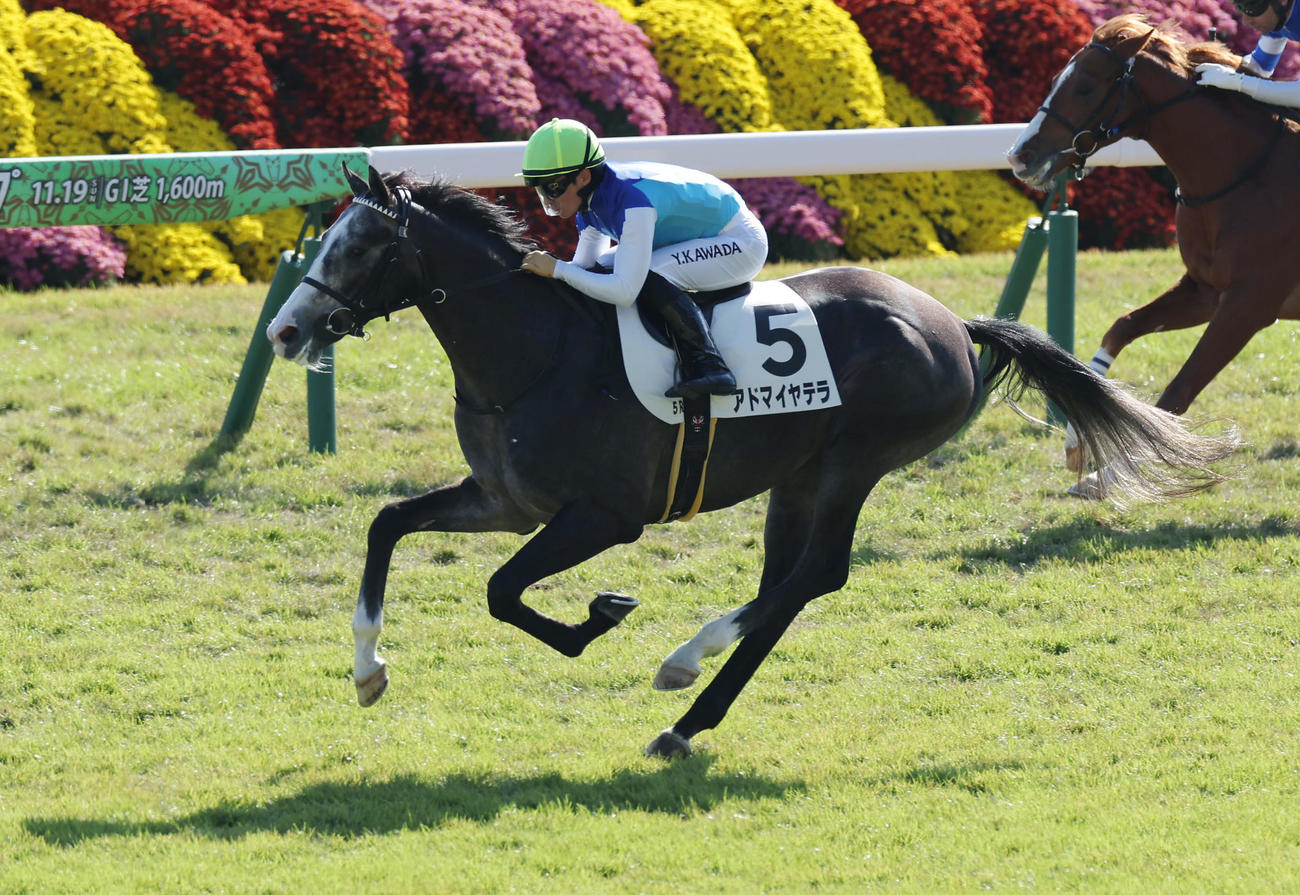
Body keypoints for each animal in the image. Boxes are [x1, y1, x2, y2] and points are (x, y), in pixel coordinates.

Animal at [265, 163, 1234, 759]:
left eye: (360, 246)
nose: (285, 329)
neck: (532, 354)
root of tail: (954, 324)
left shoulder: (604, 516)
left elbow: (504, 591)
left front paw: (600, 616)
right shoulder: (507, 500)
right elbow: (389, 522)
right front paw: (367, 668)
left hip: (854, 459)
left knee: (817, 574)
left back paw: (684, 668)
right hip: (795, 475)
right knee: (784, 585)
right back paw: (689, 709)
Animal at [1008, 14, 1300, 482]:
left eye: (1085, 87)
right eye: (1055, 80)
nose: (1019, 155)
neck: (1247, 173)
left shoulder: (1250, 304)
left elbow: (1178, 390)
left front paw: (1114, 474)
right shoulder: (1205, 290)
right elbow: (1123, 325)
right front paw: (1077, 439)